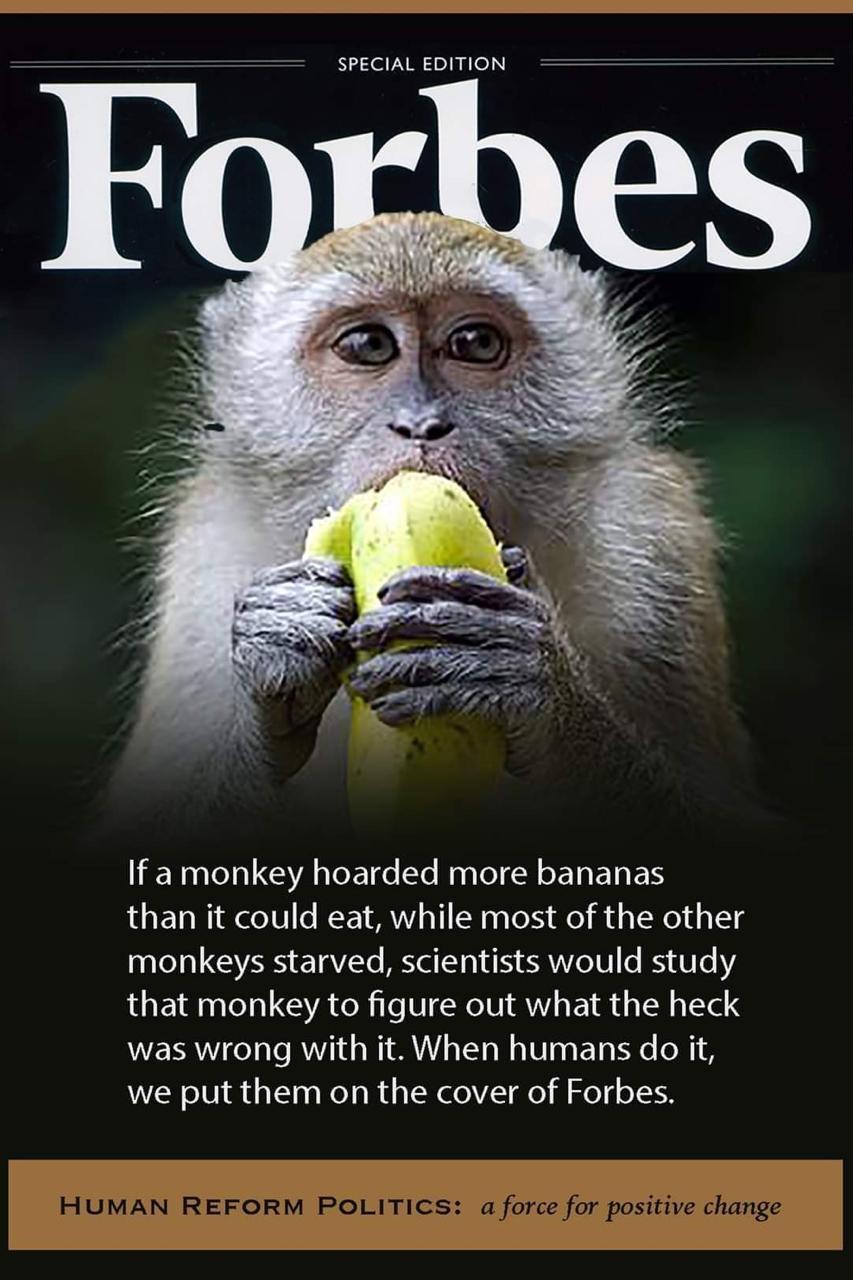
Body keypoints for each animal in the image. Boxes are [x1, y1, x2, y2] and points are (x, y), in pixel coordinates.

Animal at [103, 211, 758, 847]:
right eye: (369, 345)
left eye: (475, 343)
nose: (421, 424)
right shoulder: (202, 564)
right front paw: (276, 651)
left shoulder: (655, 548)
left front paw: (529, 675)